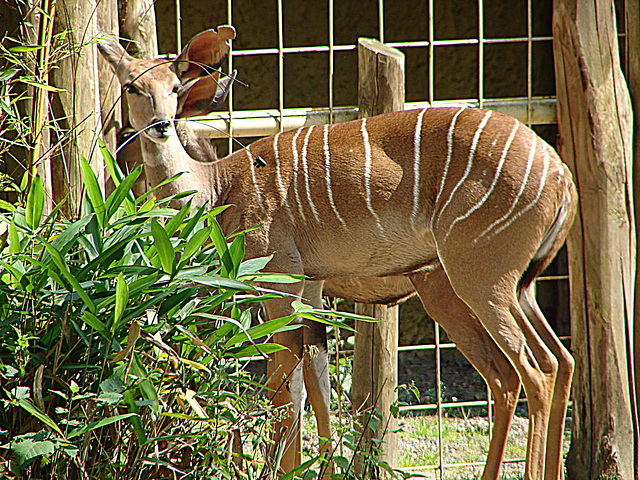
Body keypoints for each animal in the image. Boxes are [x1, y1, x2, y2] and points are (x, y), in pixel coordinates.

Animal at [100, 27, 580, 480]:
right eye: (132, 86)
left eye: (174, 87)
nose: (159, 126)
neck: (220, 187)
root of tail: (561, 176)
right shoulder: (310, 287)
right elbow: (316, 386)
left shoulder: (280, 282)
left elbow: (286, 390)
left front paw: (287, 469)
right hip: (512, 287)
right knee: (548, 363)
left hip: (480, 279)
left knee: (534, 371)